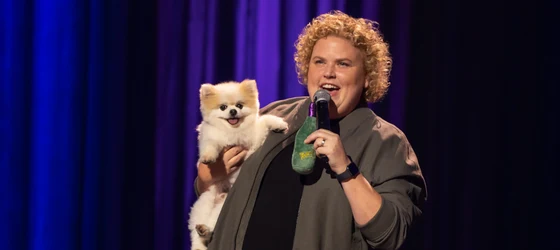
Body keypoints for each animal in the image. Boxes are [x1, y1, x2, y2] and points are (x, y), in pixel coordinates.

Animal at [188, 79, 288, 249]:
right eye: (223, 107)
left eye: (240, 105)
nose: (233, 111)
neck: (232, 131)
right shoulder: (210, 137)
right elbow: (210, 145)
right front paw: (208, 157)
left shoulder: (253, 141)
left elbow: (264, 120)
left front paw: (278, 124)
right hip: (206, 202)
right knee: (198, 234)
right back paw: (202, 231)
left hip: (221, 208)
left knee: (211, 227)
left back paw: (205, 230)